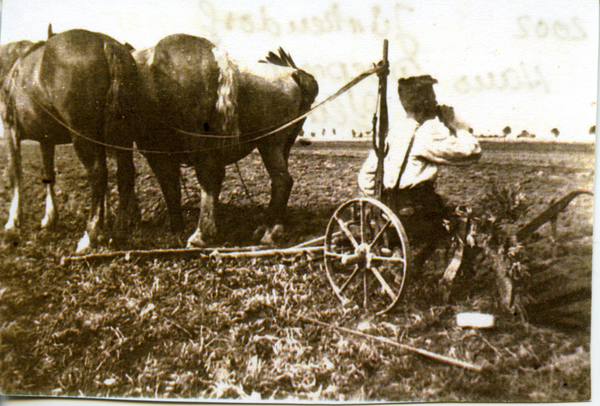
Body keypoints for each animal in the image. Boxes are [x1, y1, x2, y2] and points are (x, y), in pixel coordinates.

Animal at [0, 28, 141, 252]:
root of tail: (106, 44)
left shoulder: (11, 131)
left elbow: (16, 175)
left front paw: (13, 223)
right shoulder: (46, 140)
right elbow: (48, 174)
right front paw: (50, 218)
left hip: (83, 135)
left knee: (98, 174)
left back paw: (90, 235)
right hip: (121, 135)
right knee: (125, 173)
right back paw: (119, 231)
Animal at [133, 33, 316, 246]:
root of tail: (294, 73)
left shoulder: (158, 153)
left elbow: (172, 187)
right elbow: (172, 189)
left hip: (268, 142)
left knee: (279, 180)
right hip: (283, 142)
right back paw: (267, 226)